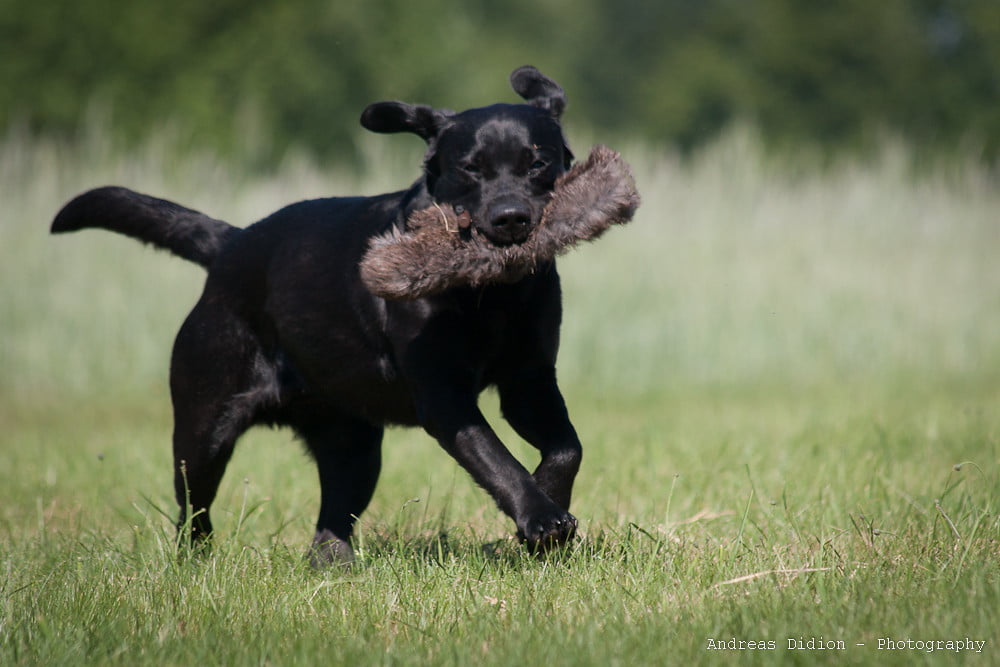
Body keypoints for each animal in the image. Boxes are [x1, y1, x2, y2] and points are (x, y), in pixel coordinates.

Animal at [54, 66, 584, 568]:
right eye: (471, 168)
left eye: (537, 162)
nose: (511, 216)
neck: (492, 296)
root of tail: (231, 243)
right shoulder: (444, 395)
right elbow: (495, 458)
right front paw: (539, 518)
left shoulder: (529, 380)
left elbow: (566, 448)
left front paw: (545, 508)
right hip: (203, 427)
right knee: (194, 510)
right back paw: (197, 561)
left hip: (354, 444)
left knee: (333, 517)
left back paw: (333, 563)